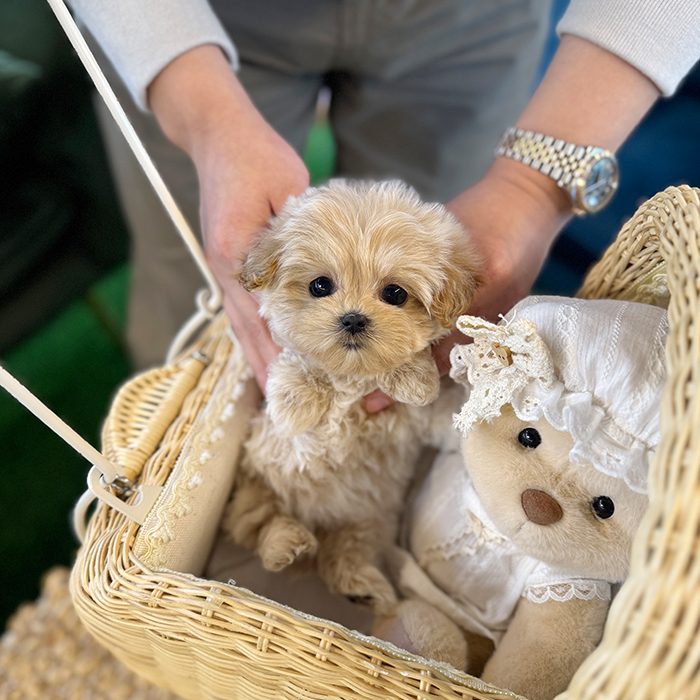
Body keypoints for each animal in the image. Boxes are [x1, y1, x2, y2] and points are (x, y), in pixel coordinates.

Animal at [224, 180, 482, 612]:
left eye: (395, 293)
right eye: (320, 286)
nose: (353, 319)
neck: (351, 380)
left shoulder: (411, 421)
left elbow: (428, 401)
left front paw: (414, 378)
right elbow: (297, 361)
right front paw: (296, 403)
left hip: (367, 520)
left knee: (344, 551)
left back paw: (361, 586)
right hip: (257, 486)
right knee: (262, 524)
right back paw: (287, 545)